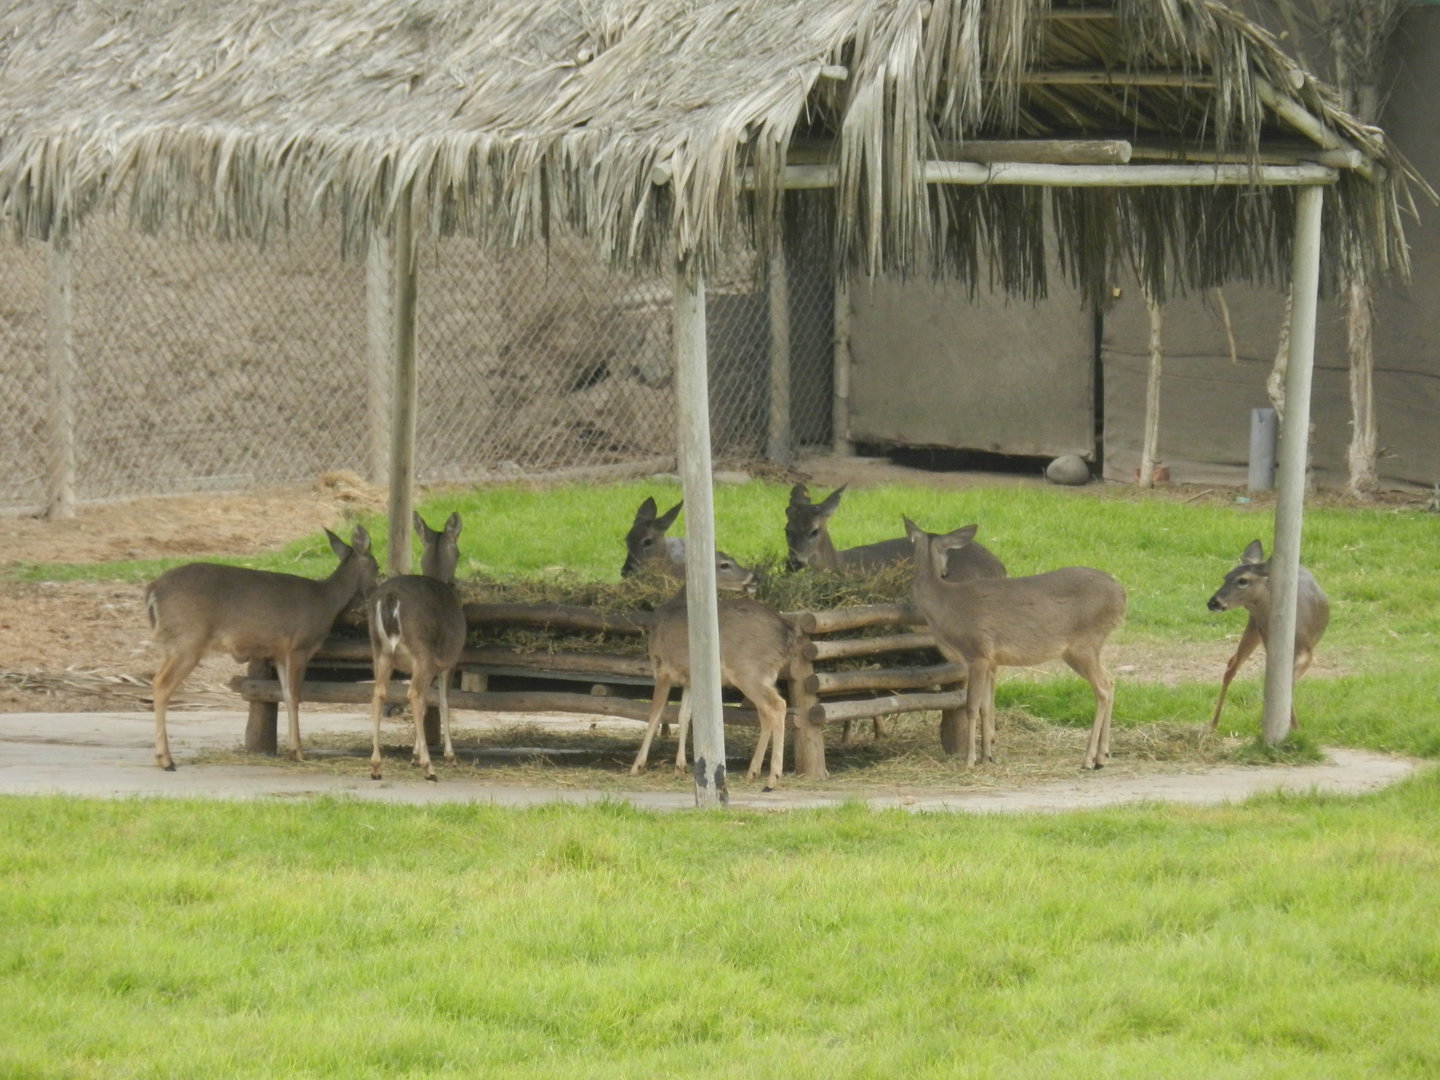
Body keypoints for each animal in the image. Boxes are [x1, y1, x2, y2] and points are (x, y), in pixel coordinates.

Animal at [145, 526, 378, 770]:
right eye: (377, 566)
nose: (376, 587)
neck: (326, 600)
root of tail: (152, 590)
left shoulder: (279, 653)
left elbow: (286, 695)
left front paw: (293, 750)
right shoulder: (299, 647)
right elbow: (296, 695)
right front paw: (298, 752)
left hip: (173, 643)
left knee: (158, 679)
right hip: (188, 640)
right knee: (161, 683)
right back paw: (166, 759)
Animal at [368, 512, 467, 782]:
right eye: (459, 552)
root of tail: (390, 598)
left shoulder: (433, 664)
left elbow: (425, 705)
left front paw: (414, 754)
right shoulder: (449, 659)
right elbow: (442, 702)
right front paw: (447, 756)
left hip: (379, 650)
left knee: (378, 692)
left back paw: (376, 766)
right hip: (420, 650)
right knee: (412, 693)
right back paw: (429, 768)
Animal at [630, 553, 802, 790]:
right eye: (725, 564)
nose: (754, 577)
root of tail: (788, 631)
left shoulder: (662, 668)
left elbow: (654, 715)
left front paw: (637, 765)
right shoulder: (689, 678)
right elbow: (684, 715)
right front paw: (680, 767)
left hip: (749, 670)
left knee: (777, 706)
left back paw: (772, 778)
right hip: (764, 674)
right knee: (765, 712)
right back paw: (752, 772)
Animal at [903, 517, 1126, 770]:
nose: (945, 571)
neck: (944, 606)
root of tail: (1122, 594)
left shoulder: (978, 652)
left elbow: (972, 706)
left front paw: (970, 760)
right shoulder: (991, 660)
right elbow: (986, 706)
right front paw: (987, 756)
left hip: (1083, 644)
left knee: (1103, 688)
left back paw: (1089, 759)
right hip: (1089, 647)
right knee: (1111, 679)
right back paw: (1102, 755)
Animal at [1206, 539, 1330, 733]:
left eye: (1243, 580)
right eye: (1225, 577)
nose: (1213, 602)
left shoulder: (1307, 651)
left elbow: (1287, 683)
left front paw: (1294, 727)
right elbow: (1285, 683)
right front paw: (1293, 726)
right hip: (1254, 628)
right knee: (1232, 664)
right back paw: (1213, 723)